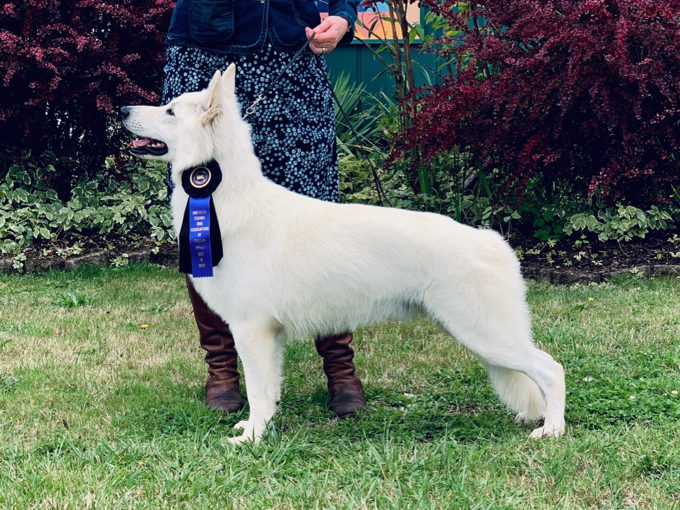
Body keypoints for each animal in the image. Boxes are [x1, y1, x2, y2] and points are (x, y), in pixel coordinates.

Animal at [123, 65, 568, 444]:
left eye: (170, 111)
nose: (124, 109)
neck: (224, 196)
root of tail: (492, 240)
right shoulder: (267, 335)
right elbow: (267, 391)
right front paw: (257, 428)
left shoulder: (252, 331)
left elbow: (257, 391)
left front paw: (251, 439)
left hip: (485, 334)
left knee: (551, 369)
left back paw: (552, 430)